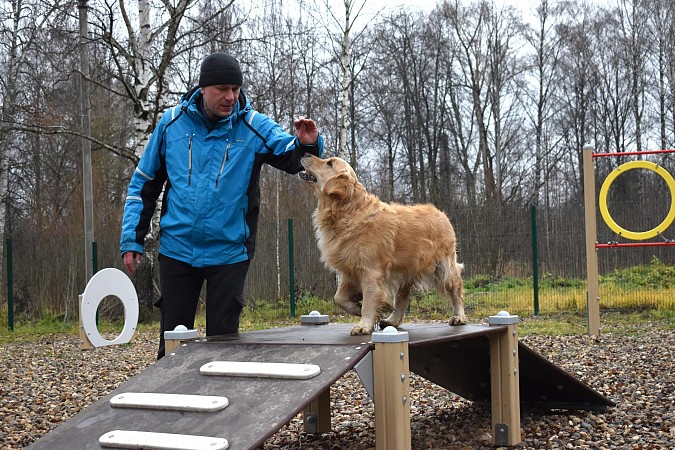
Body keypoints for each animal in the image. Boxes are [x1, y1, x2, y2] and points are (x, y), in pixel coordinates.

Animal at [300, 154, 464, 334]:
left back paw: (458, 317)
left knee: (456, 288)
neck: (348, 212)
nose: (306, 153)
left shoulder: (371, 271)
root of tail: (442, 214)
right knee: (402, 299)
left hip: (442, 267)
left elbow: (369, 301)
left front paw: (363, 325)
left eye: (329, 163)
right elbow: (339, 298)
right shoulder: (349, 271)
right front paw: (356, 307)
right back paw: (392, 320)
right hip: (406, 270)